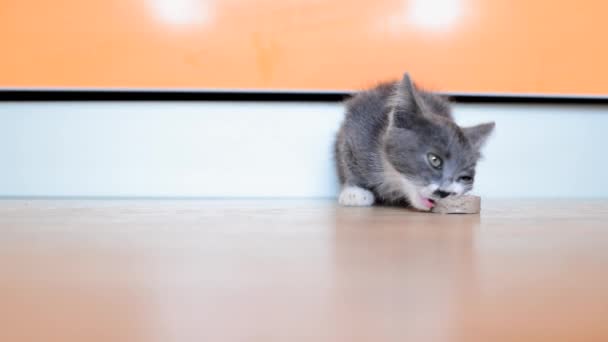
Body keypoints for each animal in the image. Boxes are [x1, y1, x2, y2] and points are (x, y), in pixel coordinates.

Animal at [334, 73, 496, 210]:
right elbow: (346, 155)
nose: (444, 192)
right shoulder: (358, 126)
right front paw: (354, 192)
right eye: (434, 160)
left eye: (464, 177)